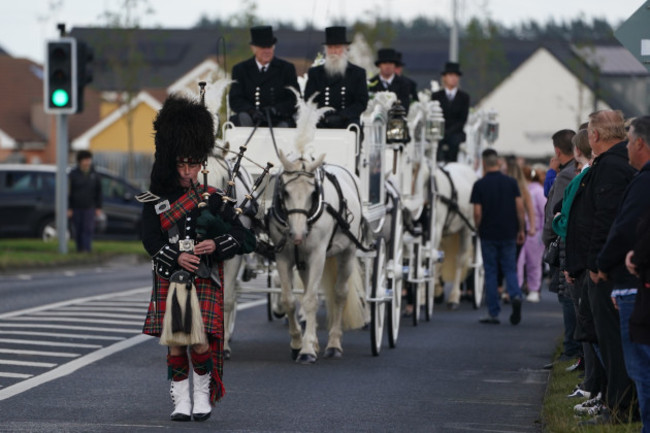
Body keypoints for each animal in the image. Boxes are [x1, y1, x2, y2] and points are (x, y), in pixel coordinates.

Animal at [266, 152, 364, 362]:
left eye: (313, 193)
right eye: (285, 192)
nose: (297, 234)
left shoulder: (318, 255)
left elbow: (311, 301)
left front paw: (307, 350)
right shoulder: (283, 257)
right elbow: (289, 300)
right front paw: (298, 343)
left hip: (348, 253)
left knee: (339, 293)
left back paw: (334, 344)